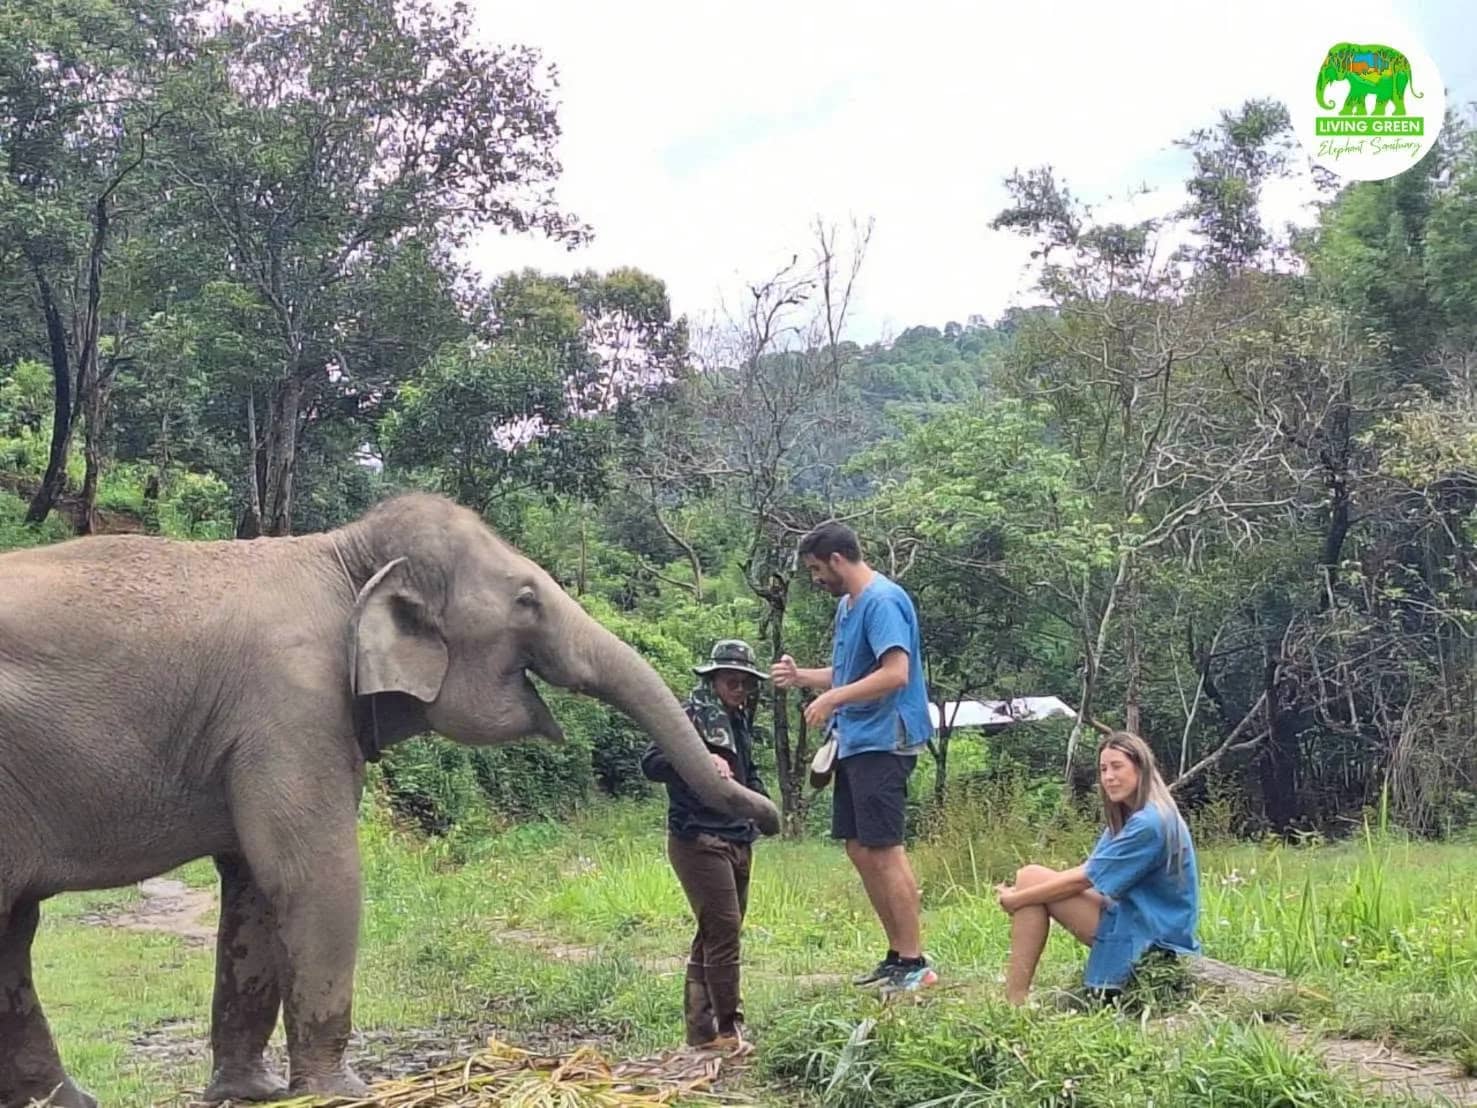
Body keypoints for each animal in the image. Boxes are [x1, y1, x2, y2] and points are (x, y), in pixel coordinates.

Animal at [0, 492, 780, 1107]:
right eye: (526, 599)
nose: (766, 818)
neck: (341, 553)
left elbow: (251, 883)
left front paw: (252, 1093)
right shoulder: (290, 706)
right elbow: (313, 874)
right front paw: (340, 1092)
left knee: (14, 930)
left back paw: (66, 1101)